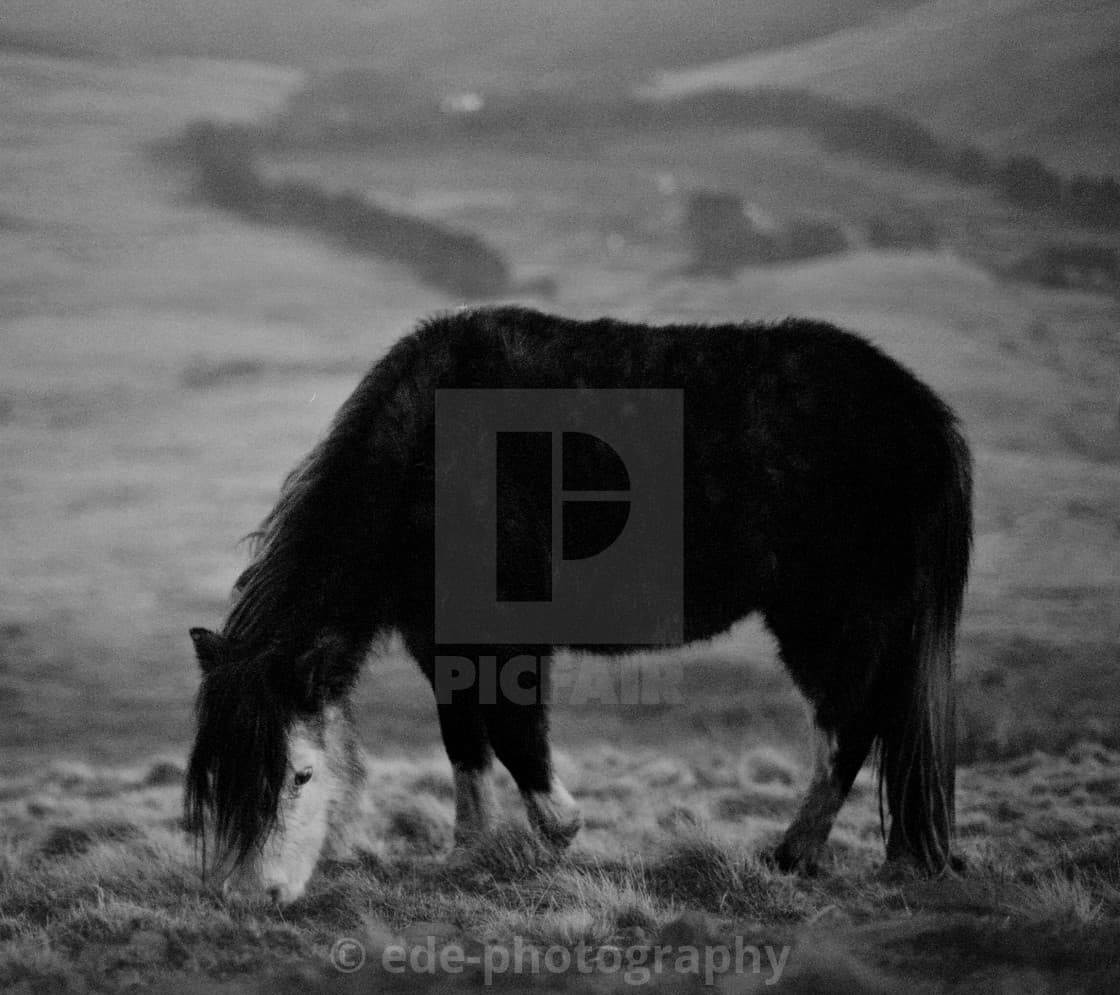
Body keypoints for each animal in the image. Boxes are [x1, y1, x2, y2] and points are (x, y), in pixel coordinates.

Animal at [186, 305, 972, 903]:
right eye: (221, 775)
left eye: (301, 774)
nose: (253, 895)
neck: (427, 461)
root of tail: (922, 416)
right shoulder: (438, 638)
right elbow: (463, 743)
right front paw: (468, 852)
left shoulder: (509, 635)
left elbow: (514, 733)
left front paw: (558, 834)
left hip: (830, 618)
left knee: (849, 724)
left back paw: (792, 854)